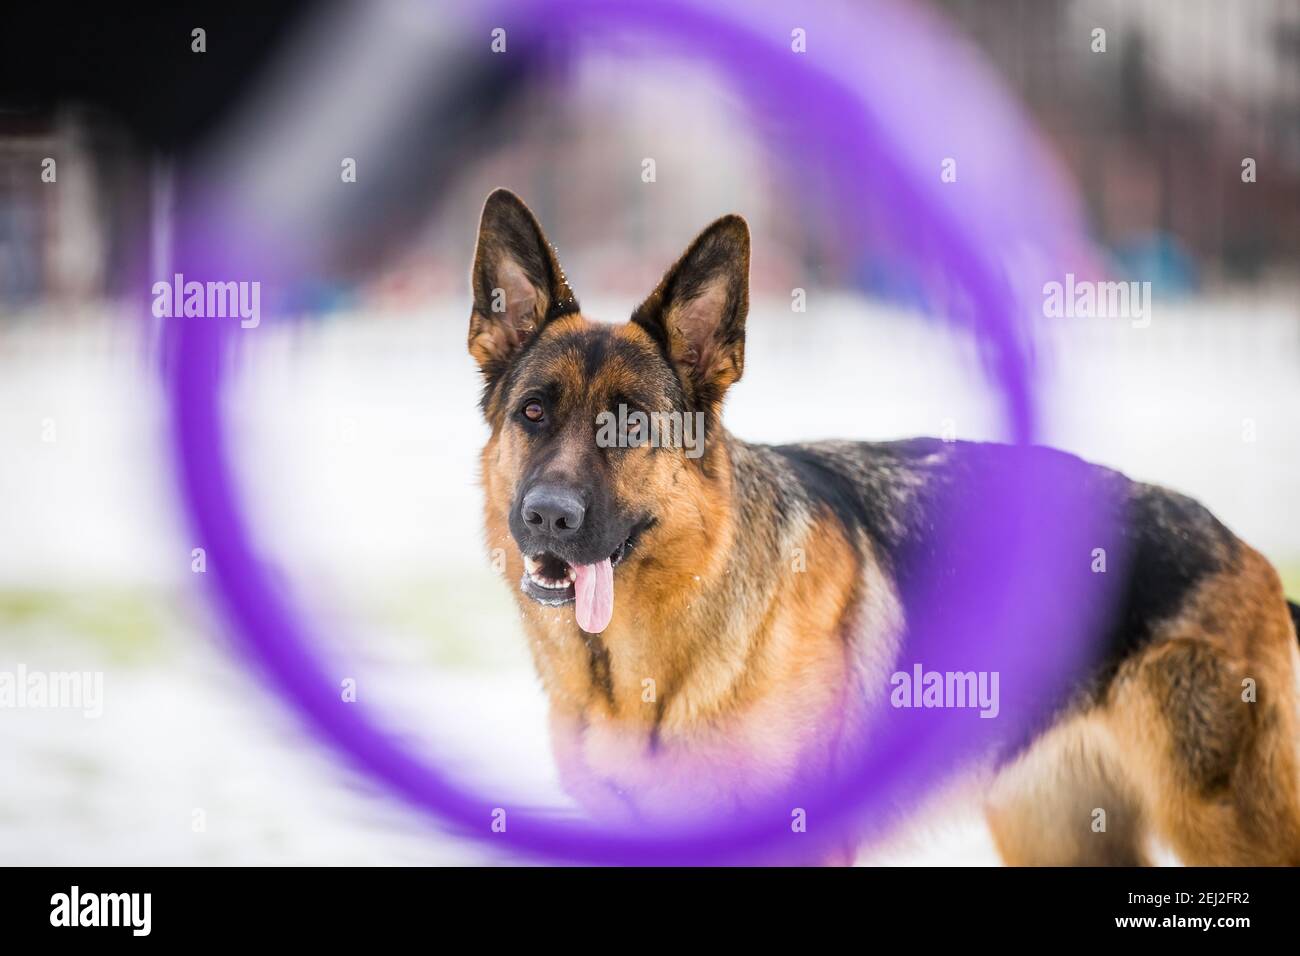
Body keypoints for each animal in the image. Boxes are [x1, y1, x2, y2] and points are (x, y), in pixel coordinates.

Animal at [467, 188, 1300, 868]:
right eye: (533, 412)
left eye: (630, 425)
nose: (549, 515)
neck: (637, 670)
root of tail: (1247, 553)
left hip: (1224, 827)